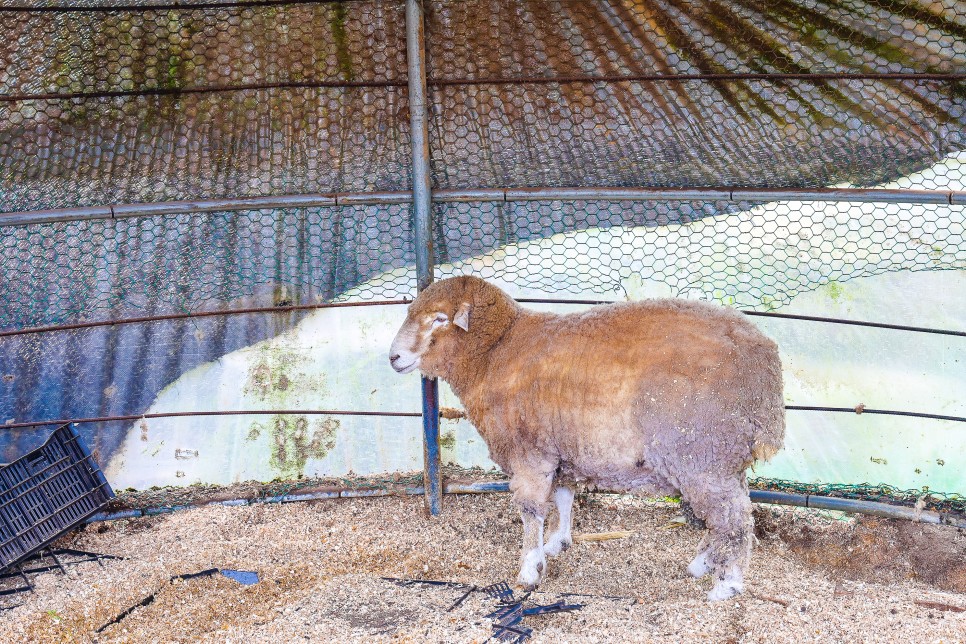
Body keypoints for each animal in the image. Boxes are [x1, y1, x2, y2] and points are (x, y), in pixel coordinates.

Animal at [392, 274, 788, 600]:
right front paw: (558, 541)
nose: (394, 357)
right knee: (729, 512)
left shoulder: (529, 452)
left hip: (701, 451)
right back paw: (705, 563)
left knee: (732, 519)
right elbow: (563, 498)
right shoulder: (560, 449)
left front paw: (530, 568)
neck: (494, 353)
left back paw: (727, 584)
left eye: (439, 319)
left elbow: (531, 511)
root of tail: (763, 361)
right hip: (725, 454)